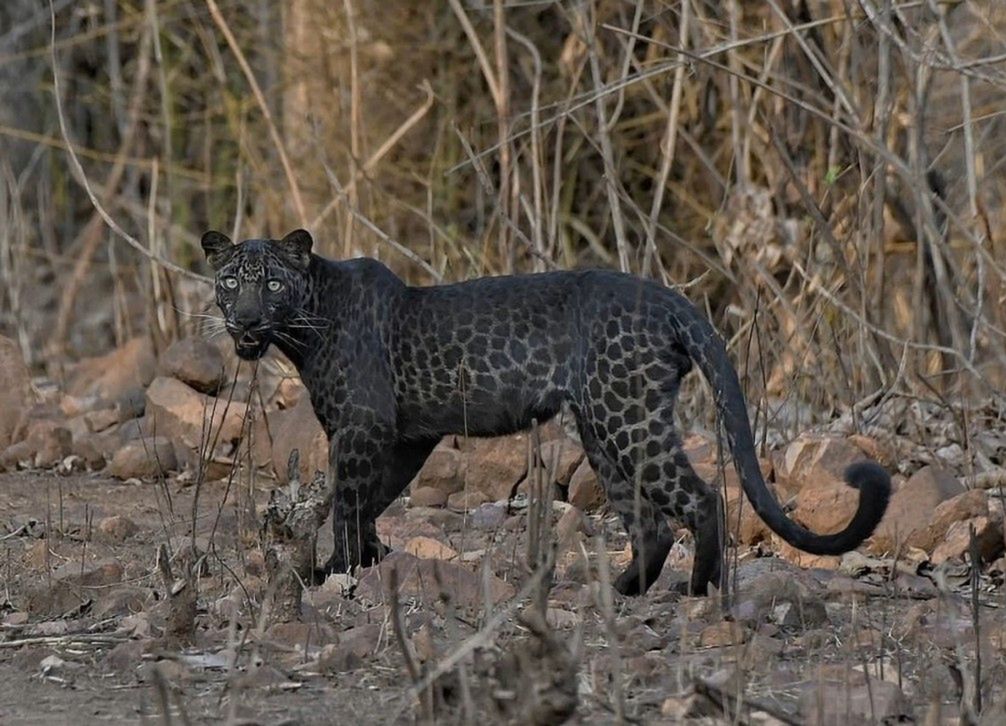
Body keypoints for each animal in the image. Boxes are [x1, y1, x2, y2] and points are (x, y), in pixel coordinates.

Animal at [202, 227, 889, 595]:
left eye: (271, 282)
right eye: (230, 281)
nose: (244, 320)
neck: (303, 328)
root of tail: (670, 299)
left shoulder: (362, 427)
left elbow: (347, 500)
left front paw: (337, 570)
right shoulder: (406, 435)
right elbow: (370, 500)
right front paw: (367, 561)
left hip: (627, 419)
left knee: (701, 499)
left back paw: (700, 591)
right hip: (603, 429)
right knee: (651, 523)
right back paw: (621, 592)